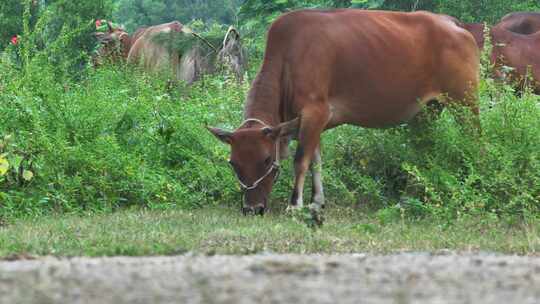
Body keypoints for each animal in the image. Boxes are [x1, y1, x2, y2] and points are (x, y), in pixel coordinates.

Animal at [208, 10, 480, 216]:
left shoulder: (314, 112)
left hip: (465, 102)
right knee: (424, 149)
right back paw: (407, 199)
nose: (252, 208)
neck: (288, 58)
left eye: (266, 159)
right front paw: (317, 202)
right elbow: (316, 160)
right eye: (233, 163)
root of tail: (453, 23)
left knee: (474, 140)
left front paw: (294, 206)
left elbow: (301, 160)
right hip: (428, 110)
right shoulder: (312, 122)